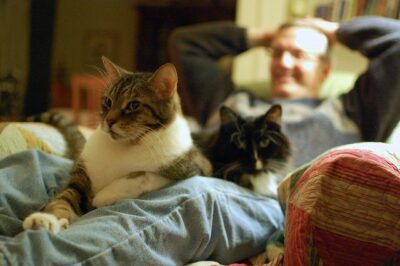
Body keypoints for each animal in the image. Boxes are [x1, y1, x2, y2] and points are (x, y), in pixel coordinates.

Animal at [23, 57, 211, 234]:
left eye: (134, 105)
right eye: (108, 101)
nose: (108, 121)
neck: (125, 145)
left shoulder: (196, 170)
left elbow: (144, 174)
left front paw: (105, 195)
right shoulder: (81, 176)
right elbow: (64, 199)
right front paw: (47, 220)